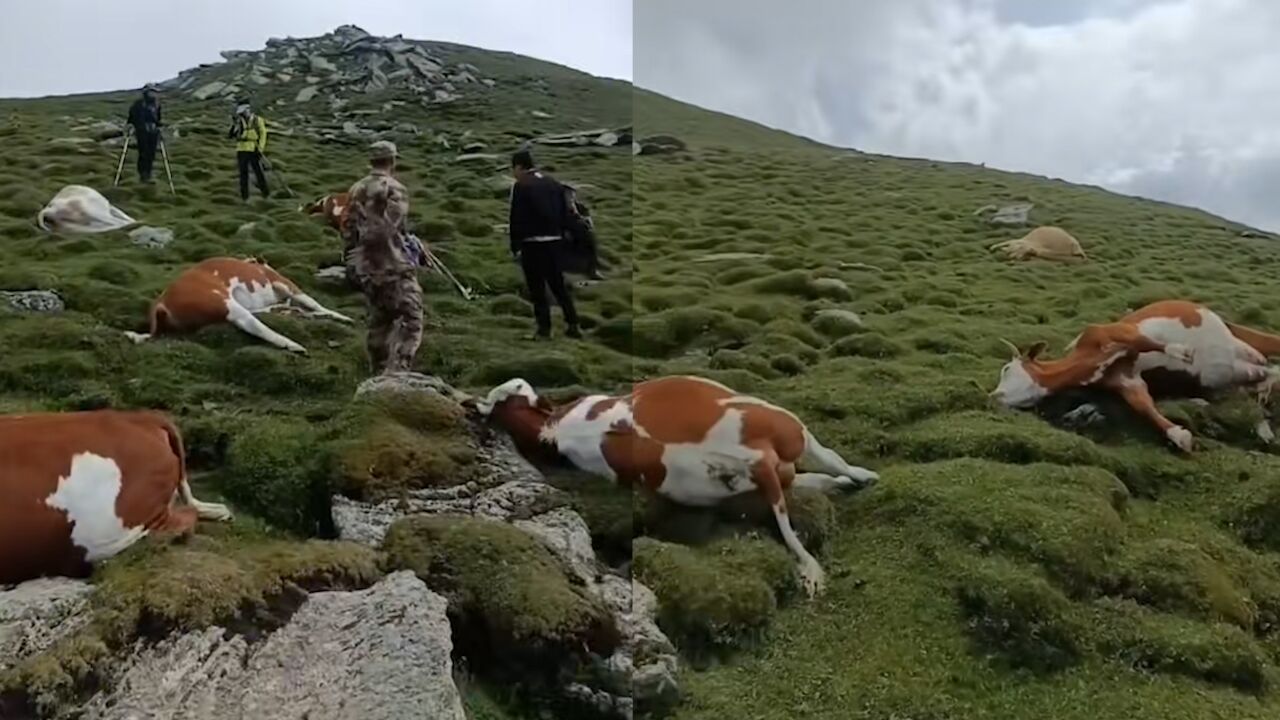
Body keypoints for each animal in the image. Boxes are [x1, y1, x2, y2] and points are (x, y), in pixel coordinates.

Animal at [122, 256, 353, 351]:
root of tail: (161, 302)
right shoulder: (285, 284)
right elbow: (315, 303)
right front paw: (342, 317)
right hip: (225, 303)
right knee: (256, 325)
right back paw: (292, 344)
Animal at [988, 299, 1280, 450]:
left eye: (1006, 369)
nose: (993, 395)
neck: (1087, 359)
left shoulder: (1113, 332)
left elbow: (1146, 341)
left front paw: (1181, 350)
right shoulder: (1126, 381)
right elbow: (1143, 406)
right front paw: (1179, 435)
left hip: (1245, 345)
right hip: (1234, 373)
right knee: (1265, 379)